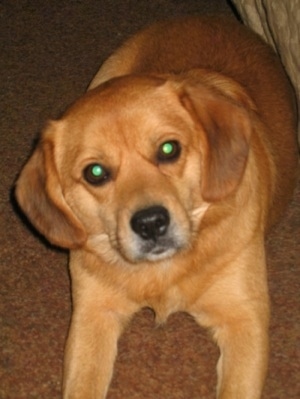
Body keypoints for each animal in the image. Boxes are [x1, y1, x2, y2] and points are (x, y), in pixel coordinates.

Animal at [15, 15, 298, 399]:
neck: (163, 273)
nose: (150, 223)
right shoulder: (93, 314)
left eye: (168, 149)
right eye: (95, 173)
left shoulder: (244, 321)